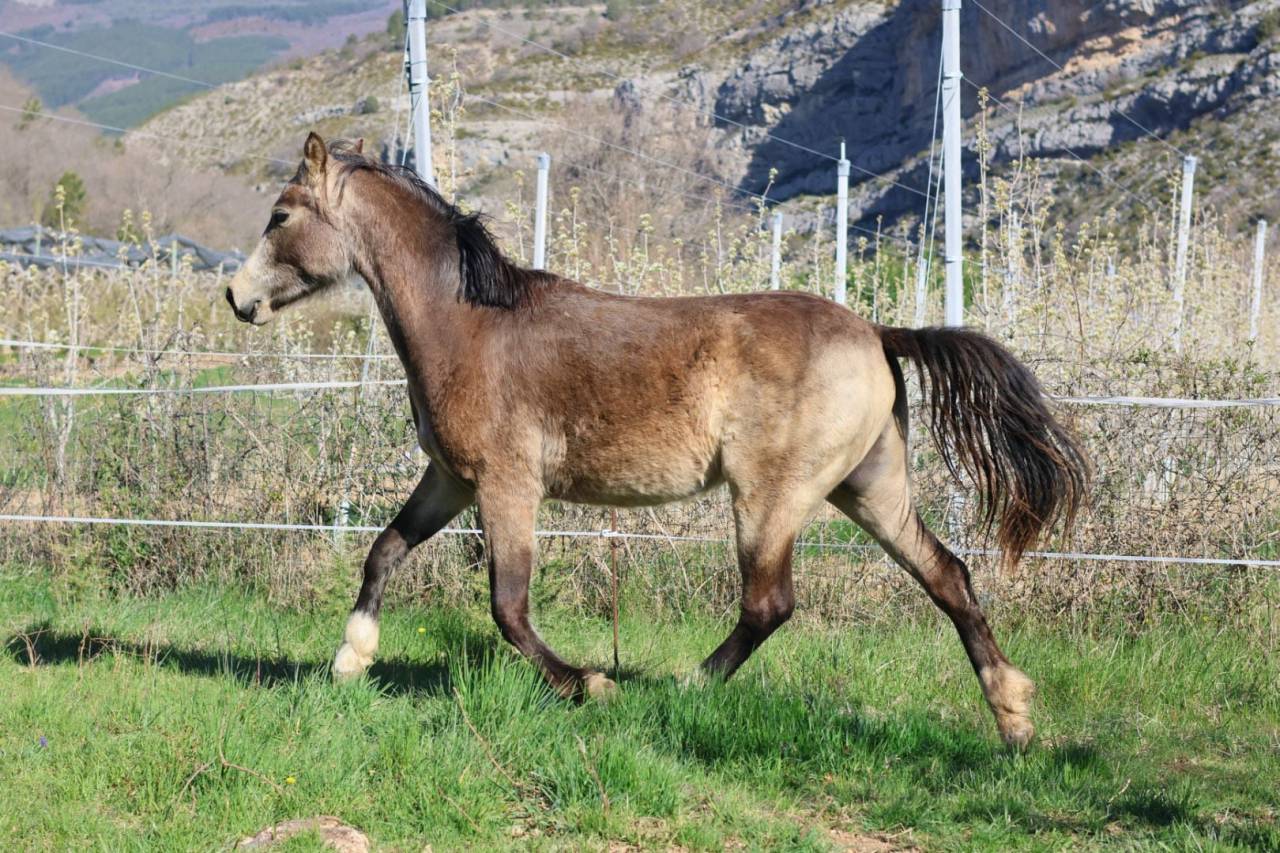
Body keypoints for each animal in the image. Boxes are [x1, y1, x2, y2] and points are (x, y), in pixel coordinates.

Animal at [226, 133, 1087, 747]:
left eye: (280, 216)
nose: (235, 297)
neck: (469, 324)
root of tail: (877, 332)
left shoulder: (508, 486)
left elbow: (508, 607)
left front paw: (587, 685)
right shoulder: (451, 480)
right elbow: (384, 551)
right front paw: (350, 659)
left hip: (772, 498)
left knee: (769, 602)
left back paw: (685, 686)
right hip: (869, 488)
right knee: (948, 575)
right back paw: (1015, 717)